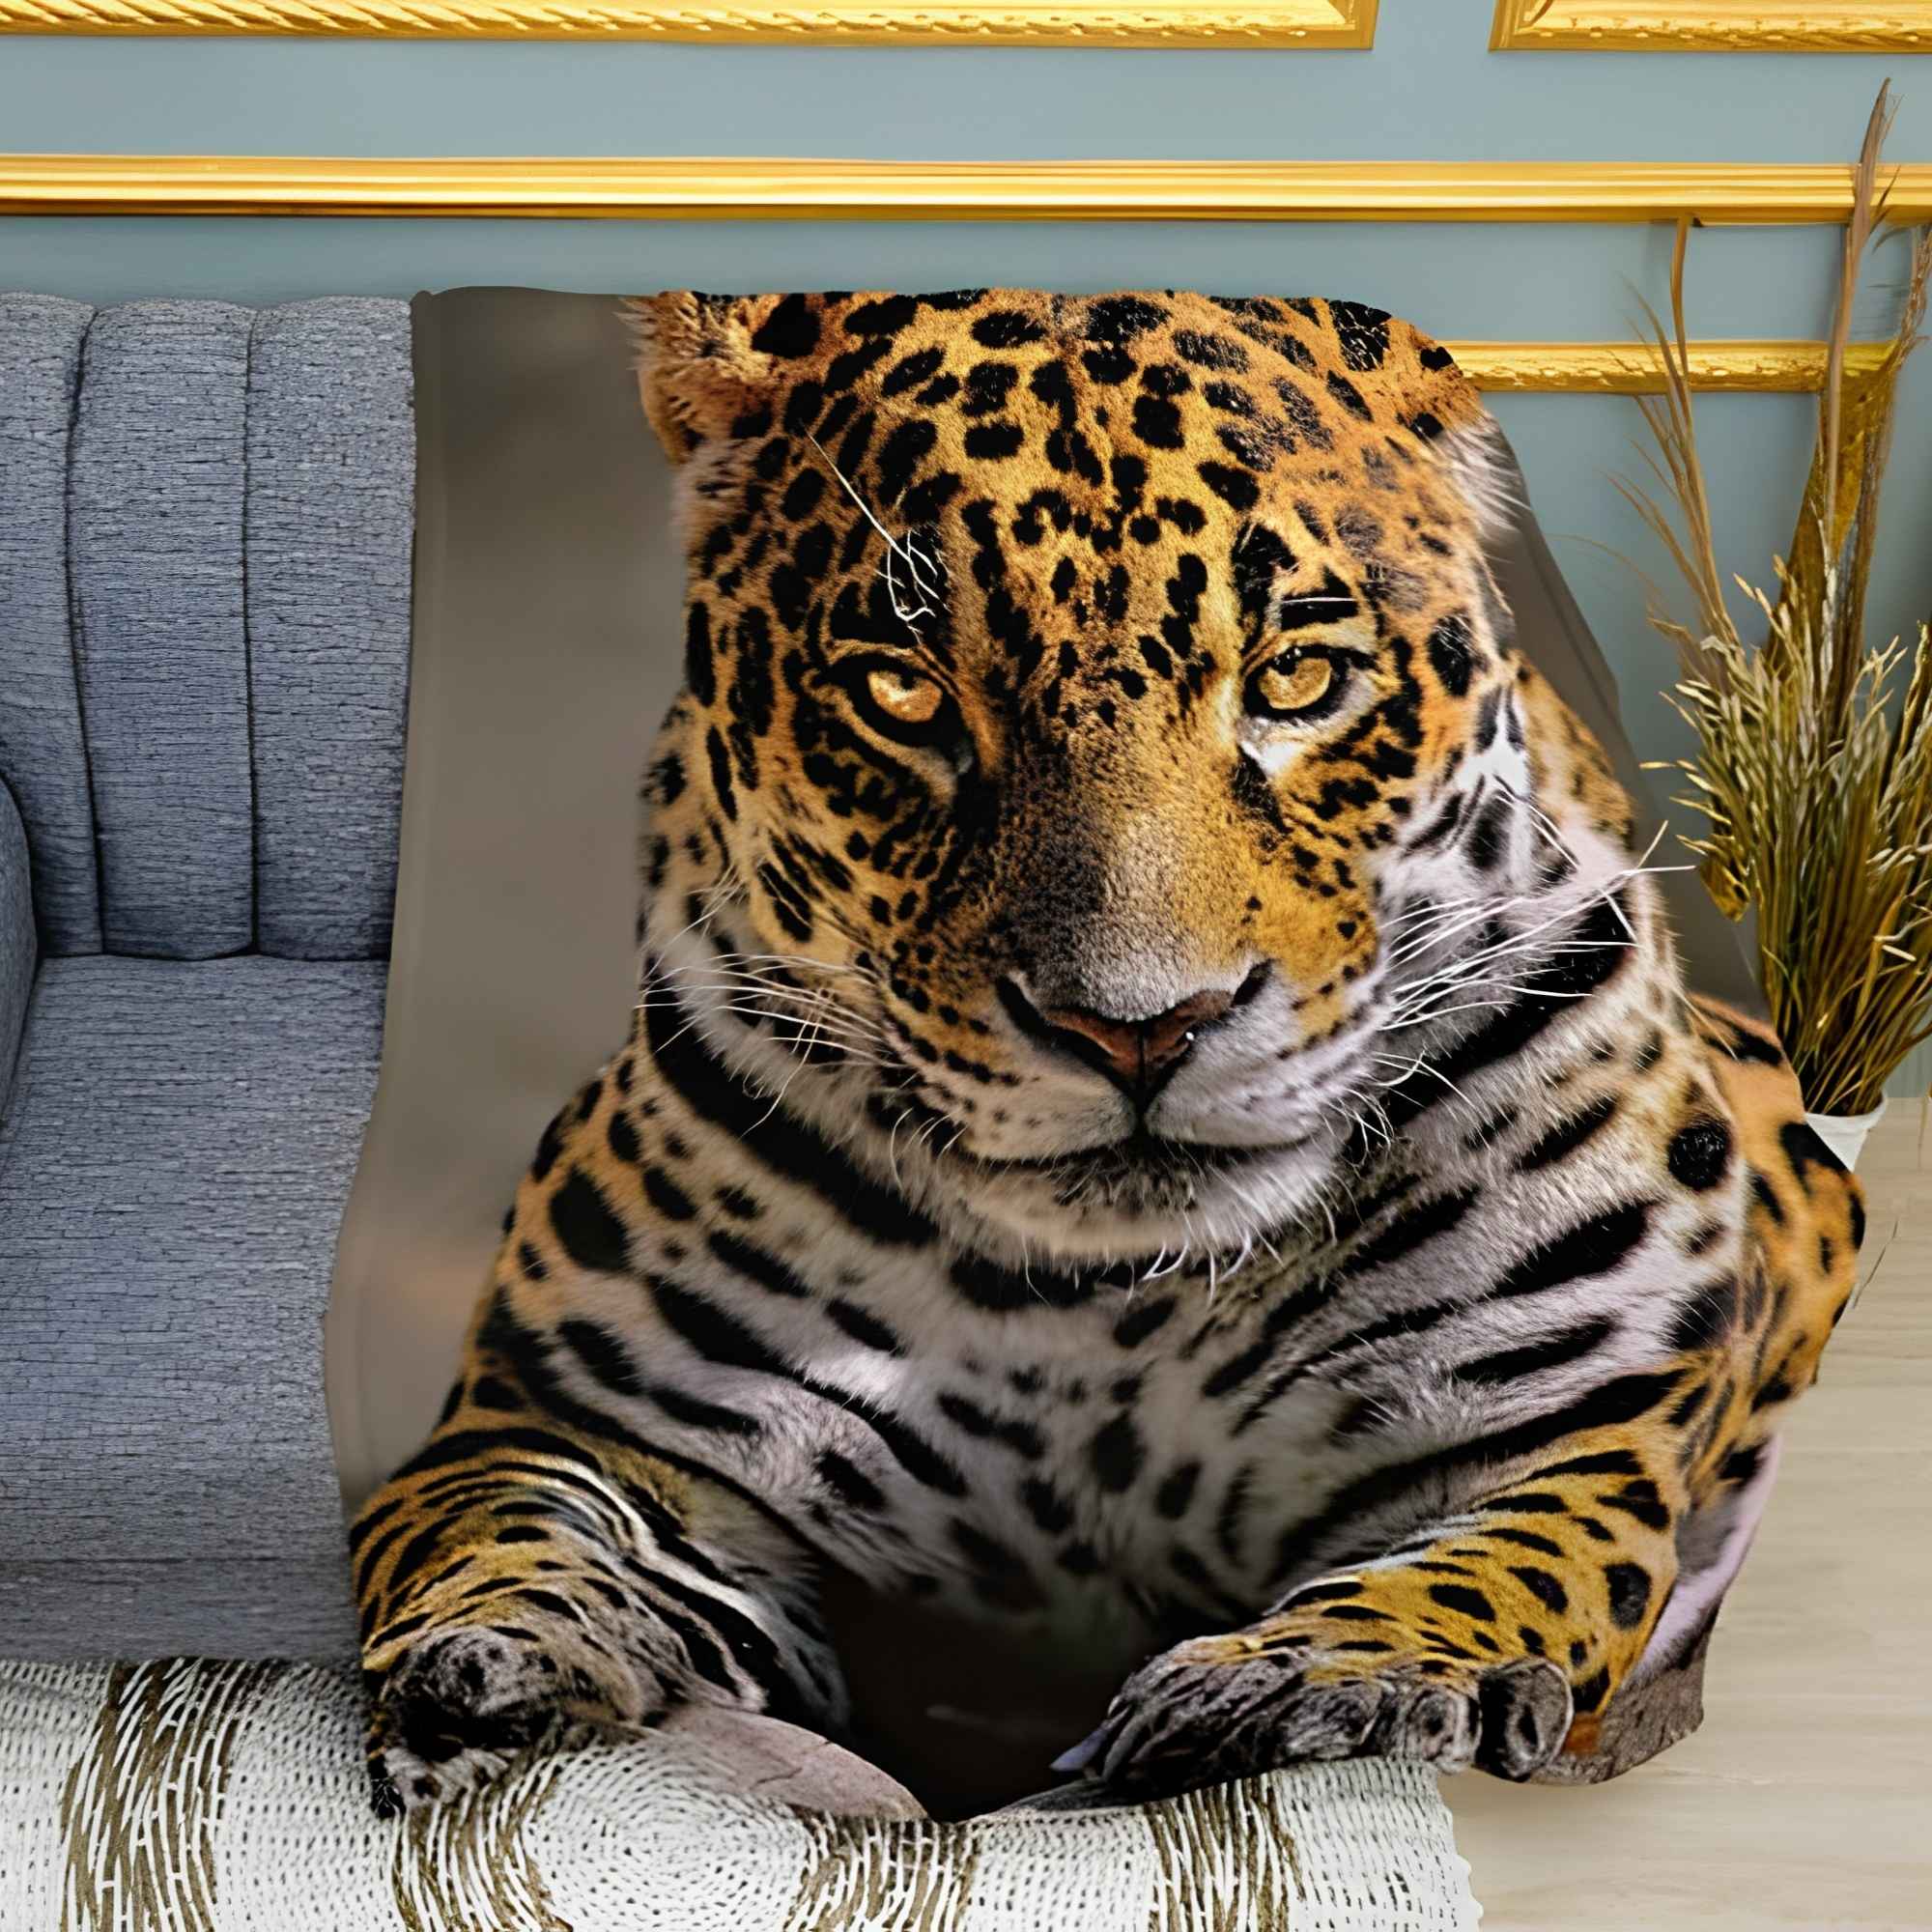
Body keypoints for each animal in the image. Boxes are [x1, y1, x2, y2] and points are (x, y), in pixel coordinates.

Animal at [349, 288, 1863, 1815]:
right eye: (903, 694)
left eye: (1297, 678)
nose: (1137, 1028)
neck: (1113, 1305)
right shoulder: (576, 1423)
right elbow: (501, 1532)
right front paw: (495, 1675)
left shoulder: (1547, 1442)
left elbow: (1475, 1580)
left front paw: (1303, 1685)